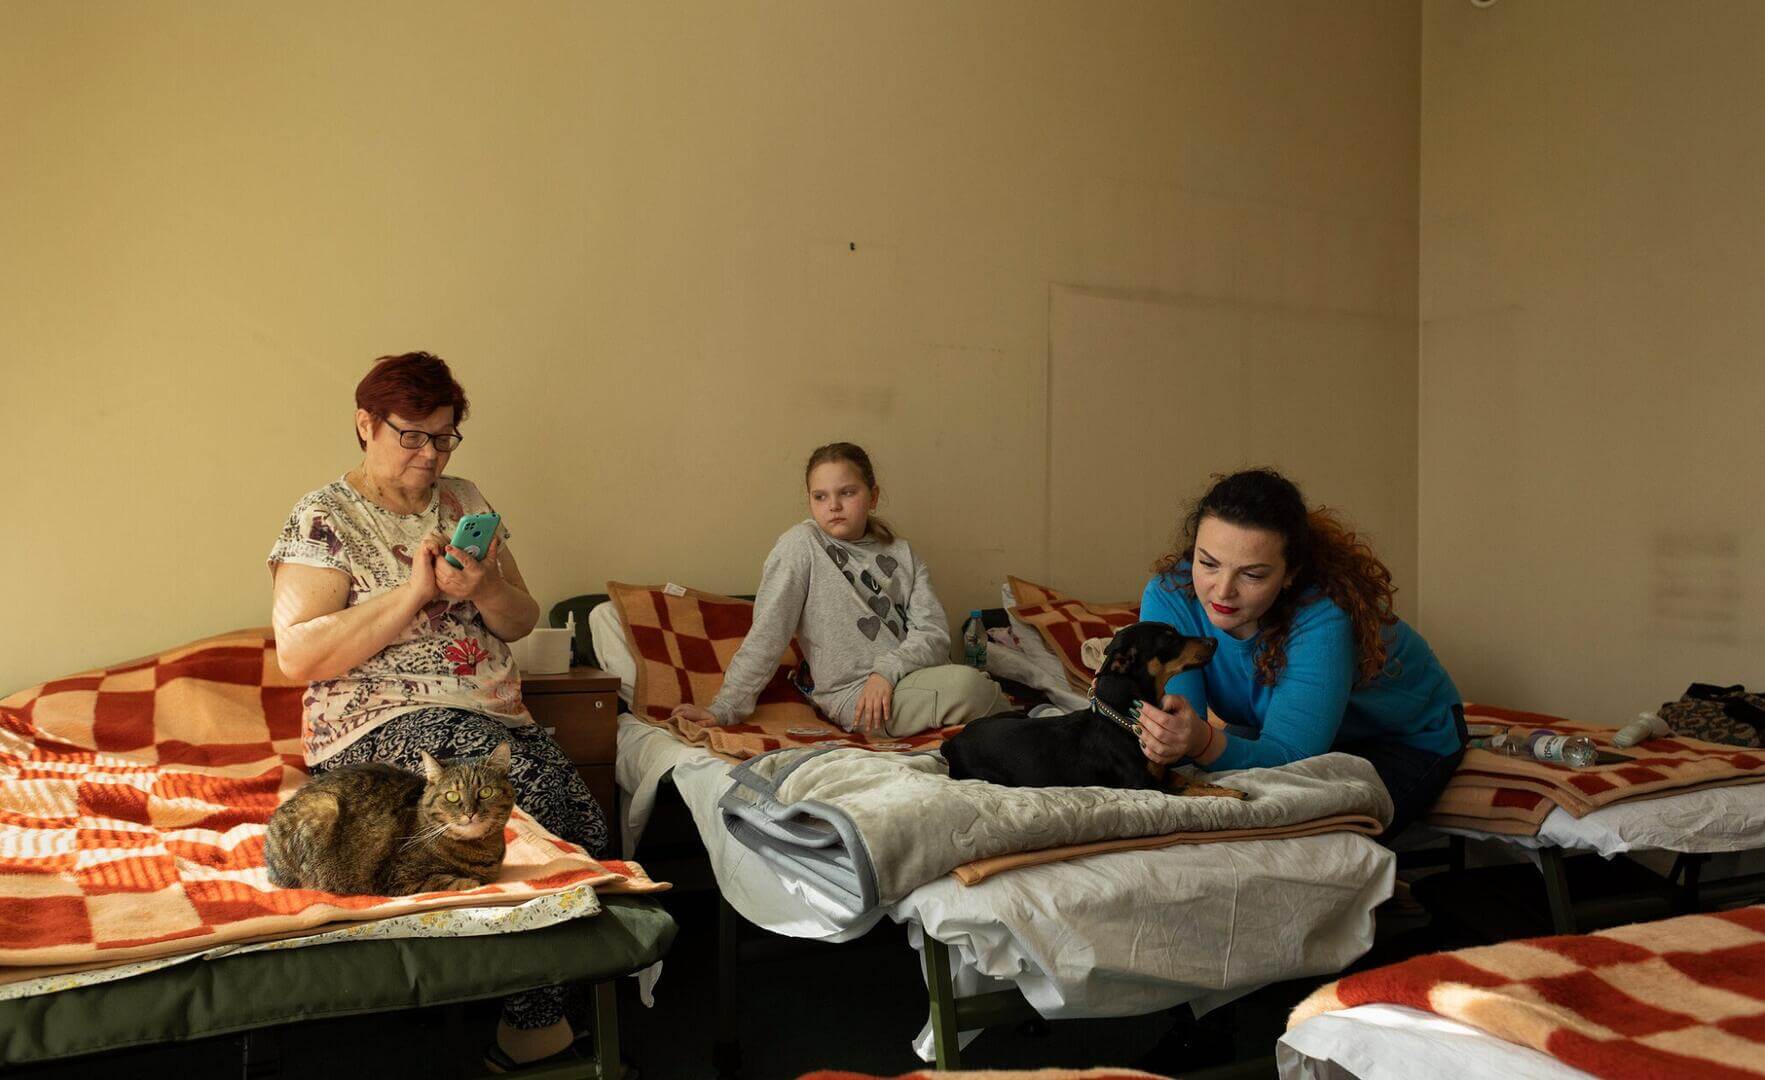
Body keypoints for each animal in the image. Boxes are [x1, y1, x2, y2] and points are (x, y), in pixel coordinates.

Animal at [262, 741, 515, 892]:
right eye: (452, 796)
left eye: (485, 792)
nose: (470, 812)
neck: (480, 850)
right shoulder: (398, 879)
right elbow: (444, 881)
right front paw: (468, 881)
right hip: (324, 807)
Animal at [946, 621, 1221, 790]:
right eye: (1170, 640)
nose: (1214, 640)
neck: (1122, 719)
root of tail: (952, 742)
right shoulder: (1144, 786)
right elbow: (1191, 791)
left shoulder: (1160, 775)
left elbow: (1191, 782)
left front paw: (1219, 787)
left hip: (1017, 715)